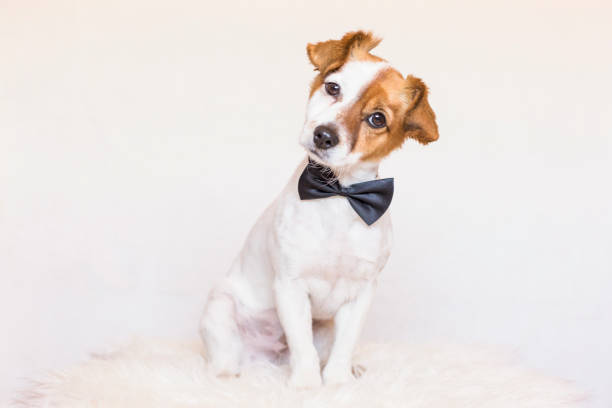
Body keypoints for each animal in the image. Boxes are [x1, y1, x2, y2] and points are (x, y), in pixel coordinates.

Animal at [202, 30, 440, 388]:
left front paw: (338, 382)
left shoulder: (360, 295)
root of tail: (267, 357)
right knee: (227, 356)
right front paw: (306, 384)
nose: (324, 136)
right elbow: (303, 347)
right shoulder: (291, 286)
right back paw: (229, 375)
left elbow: (344, 346)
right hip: (220, 310)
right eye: (333, 88)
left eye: (377, 119)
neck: (338, 194)